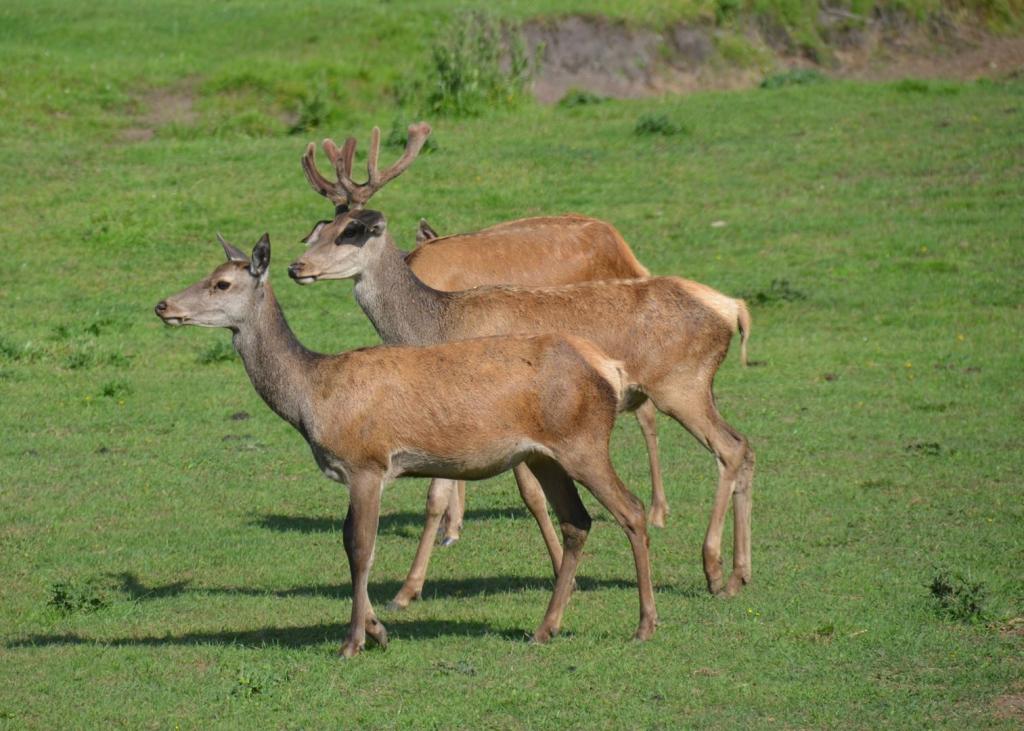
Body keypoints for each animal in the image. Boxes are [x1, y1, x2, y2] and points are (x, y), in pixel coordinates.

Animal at [155, 232, 659, 655]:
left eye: (221, 283)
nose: (162, 305)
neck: (313, 396)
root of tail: (607, 367)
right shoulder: (352, 471)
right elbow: (349, 544)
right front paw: (378, 629)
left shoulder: (367, 463)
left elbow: (361, 548)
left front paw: (354, 641)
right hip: (544, 455)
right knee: (578, 521)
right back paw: (545, 628)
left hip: (583, 442)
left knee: (630, 510)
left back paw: (644, 625)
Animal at [286, 125, 753, 610]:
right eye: (319, 230)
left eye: (350, 232)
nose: (295, 266)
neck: (436, 322)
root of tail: (733, 308)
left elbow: (474, 495)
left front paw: (407, 590)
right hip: (693, 388)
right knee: (745, 446)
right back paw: (740, 573)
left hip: (681, 385)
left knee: (729, 449)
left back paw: (713, 567)